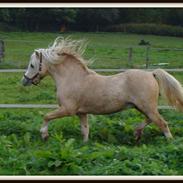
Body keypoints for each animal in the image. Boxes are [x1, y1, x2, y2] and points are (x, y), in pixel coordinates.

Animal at [21, 37, 183, 142]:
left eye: (32, 65)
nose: (24, 81)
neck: (72, 78)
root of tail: (151, 73)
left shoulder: (68, 109)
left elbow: (46, 116)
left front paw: (44, 135)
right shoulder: (81, 112)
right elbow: (85, 130)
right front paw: (85, 145)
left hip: (147, 107)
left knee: (162, 123)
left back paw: (169, 143)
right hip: (142, 107)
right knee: (151, 120)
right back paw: (137, 133)